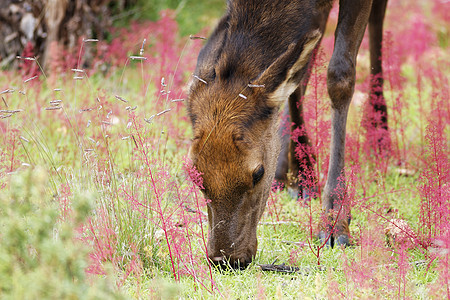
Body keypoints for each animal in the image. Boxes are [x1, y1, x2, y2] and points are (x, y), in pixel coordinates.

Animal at [187, 0, 390, 268]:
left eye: (258, 173)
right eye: (195, 174)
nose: (226, 259)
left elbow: (340, 75)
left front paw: (335, 220)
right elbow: (297, 78)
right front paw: (304, 174)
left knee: (378, 19)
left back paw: (381, 132)